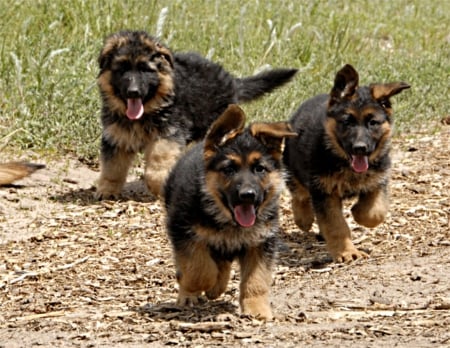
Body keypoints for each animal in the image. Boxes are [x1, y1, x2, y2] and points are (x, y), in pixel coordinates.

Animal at [94, 31, 298, 200]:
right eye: (122, 69)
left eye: (145, 69)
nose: (133, 92)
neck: (149, 109)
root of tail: (231, 81)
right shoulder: (116, 137)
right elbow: (113, 167)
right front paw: (108, 189)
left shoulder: (169, 133)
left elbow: (157, 164)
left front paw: (158, 184)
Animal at [163, 104, 298, 320]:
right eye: (229, 169)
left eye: (260, 169)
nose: (248, 195)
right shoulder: (183, 231)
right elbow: (199, 270)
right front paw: (205, 285)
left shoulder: (261, 243)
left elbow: (256, 279)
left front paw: (256, 308)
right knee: (188, 268)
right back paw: (189, 294)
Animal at [284, 64, 412, 262]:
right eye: (347, 122)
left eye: (373, 122)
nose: (360, 148)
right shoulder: (324, 191)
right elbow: (336, 225)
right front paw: (347, 252)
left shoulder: (378, 181)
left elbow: (375, 212)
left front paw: (357, 211)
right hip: (294, 168)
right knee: (299, 194)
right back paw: (303, 218)